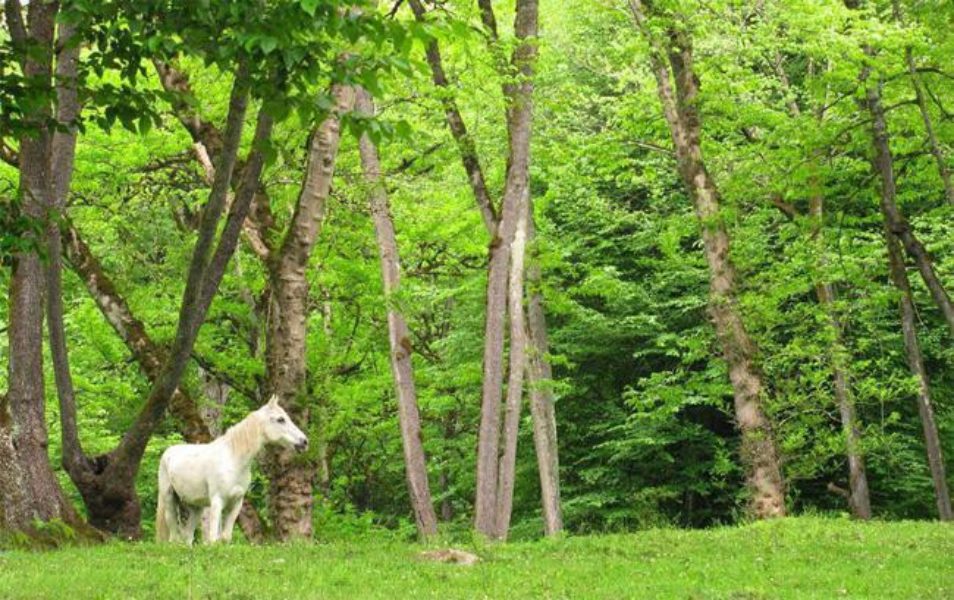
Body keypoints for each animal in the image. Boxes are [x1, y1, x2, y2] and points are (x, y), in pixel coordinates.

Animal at [154, 394, 306, 544]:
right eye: (281, 419)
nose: (304, 442)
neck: (233, 460)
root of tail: (168, 452)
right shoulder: (217, 502)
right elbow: (213, 539)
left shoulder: (236, 503)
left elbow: (225, 538)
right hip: (169, 501)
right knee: (174, 537)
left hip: (196, 506)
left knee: (188, 536)